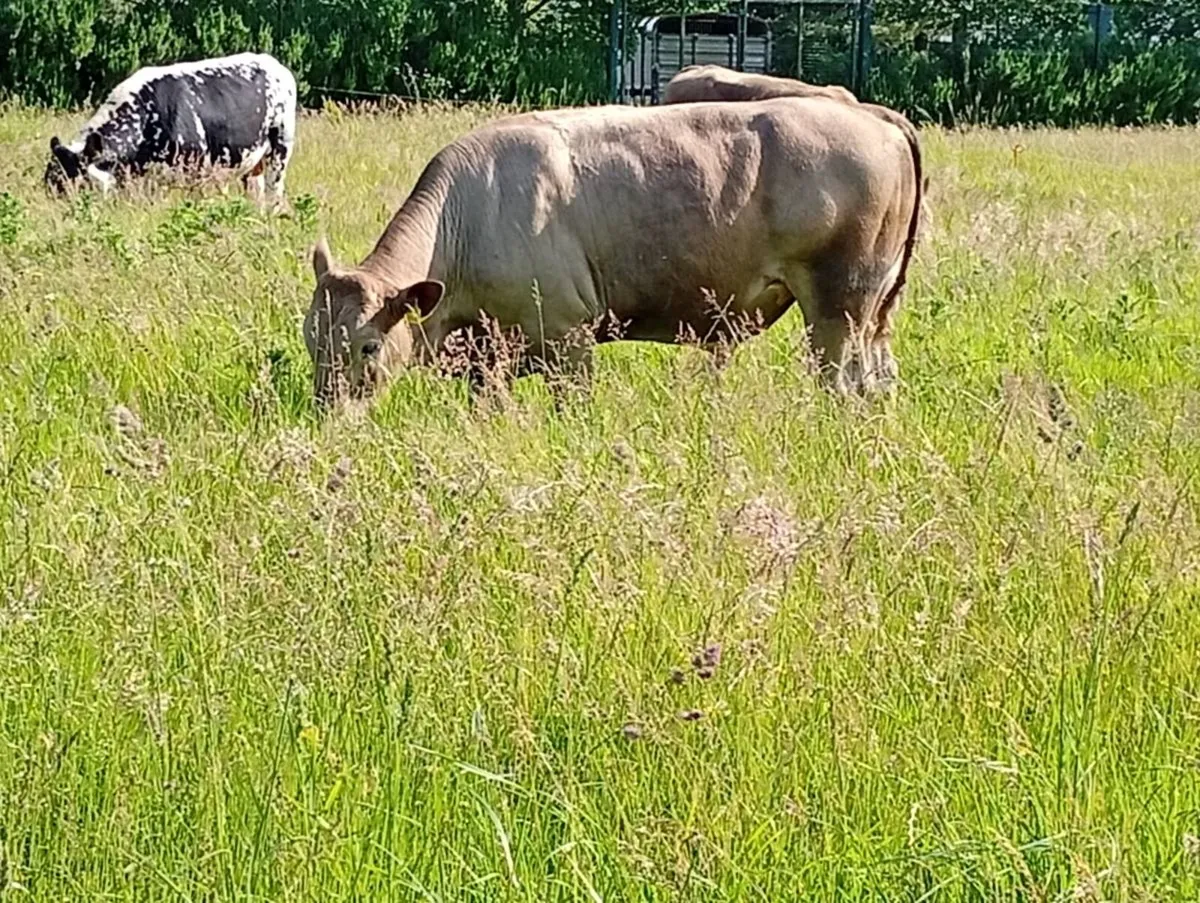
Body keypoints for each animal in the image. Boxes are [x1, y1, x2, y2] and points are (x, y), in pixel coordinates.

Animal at [44, 52, 296, 203]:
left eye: (82, 184)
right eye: (51, 183)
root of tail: (273, 63)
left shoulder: (195, 168)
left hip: (280, 147)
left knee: (274, 189)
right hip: (251, 161)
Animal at [303, 97, 923, 413]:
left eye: (368, 345)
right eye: (312, 338)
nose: (328, 414)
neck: (470, 215)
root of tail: (873, 115)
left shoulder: (570, 338)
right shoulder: (486, 357)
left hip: (839, 307)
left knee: (842, 384)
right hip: (873, 315)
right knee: (878, 379)